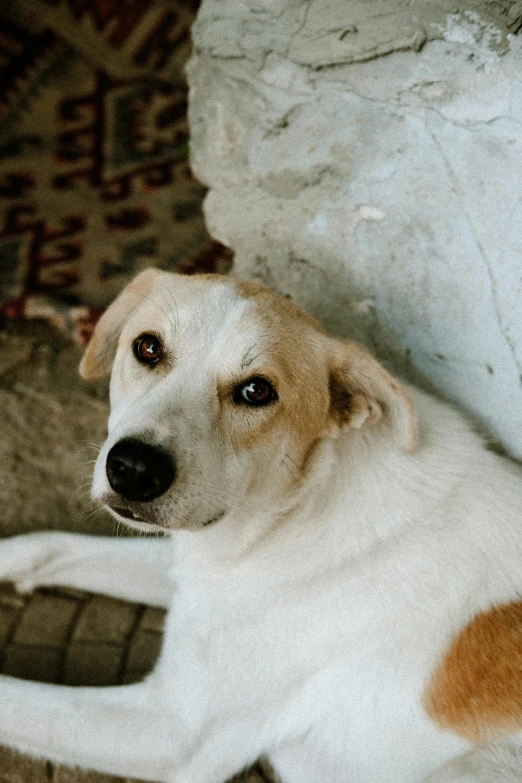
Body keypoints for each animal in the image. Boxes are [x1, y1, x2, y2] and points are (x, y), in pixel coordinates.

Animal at [1, 266, 520, 780]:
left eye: (256, 391)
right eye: (147, 347)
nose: (133, 469)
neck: (293, 509)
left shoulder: (172, 729)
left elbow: (14, 700)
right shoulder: (197, 573)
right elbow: (46, 545)